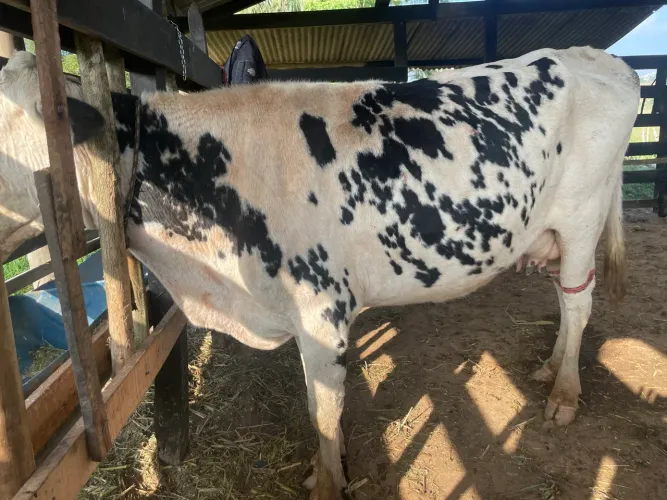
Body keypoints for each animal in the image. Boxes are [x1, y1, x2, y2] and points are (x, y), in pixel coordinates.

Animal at [0, 47, 638, 499]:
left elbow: (324, 409)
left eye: (5, 117)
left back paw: (563, 392)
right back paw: (549, 367)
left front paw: (329, 484)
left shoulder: (323, 311)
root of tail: (593, 56)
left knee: (578, 303)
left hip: (581, 218)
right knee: (565, 303)